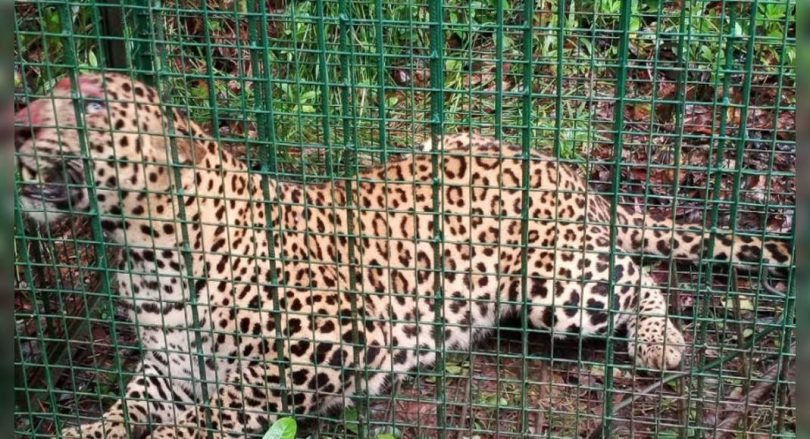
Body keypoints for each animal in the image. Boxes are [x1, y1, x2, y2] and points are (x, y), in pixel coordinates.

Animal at [15, 73, 793, 438]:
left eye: (89, 103)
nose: (15, 123)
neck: (140, 251)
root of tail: (561, 168)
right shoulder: (171, 363)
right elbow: (130, 405)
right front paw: (87, 428)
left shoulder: (327, 339)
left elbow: (218, 408)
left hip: (559, 283)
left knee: (638, 277)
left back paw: (661, 340)